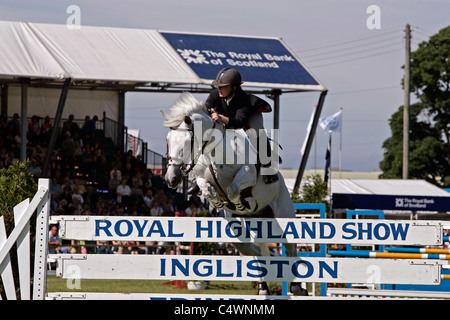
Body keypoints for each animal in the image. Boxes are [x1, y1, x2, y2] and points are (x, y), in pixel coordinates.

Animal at [162, 92, 306, 296]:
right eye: (168, 141)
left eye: (186, 143)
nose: (171, 179)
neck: (214, 151)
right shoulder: (201, 177)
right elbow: (207, 188)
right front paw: (218, 203)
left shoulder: (248, 173)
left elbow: (233, 189)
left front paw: (240, 203)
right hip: (252, 225)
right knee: (253, 250)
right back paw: (263, 288)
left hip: (282, 215)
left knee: (290, 247)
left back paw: (296, 287)